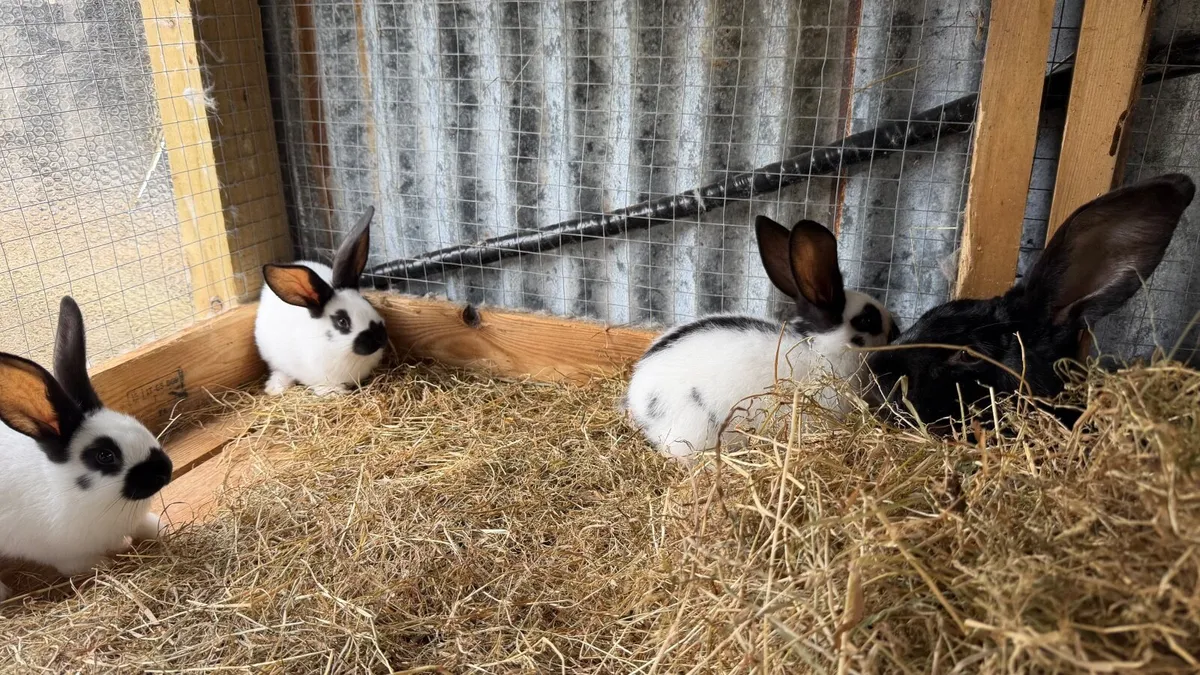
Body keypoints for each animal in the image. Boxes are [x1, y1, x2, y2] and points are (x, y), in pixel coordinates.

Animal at [0, 297, 173, 601]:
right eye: (105, 456)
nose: (166, 470)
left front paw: (159, 528)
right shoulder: (63, 553)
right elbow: (80, 564)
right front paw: (104, 563)